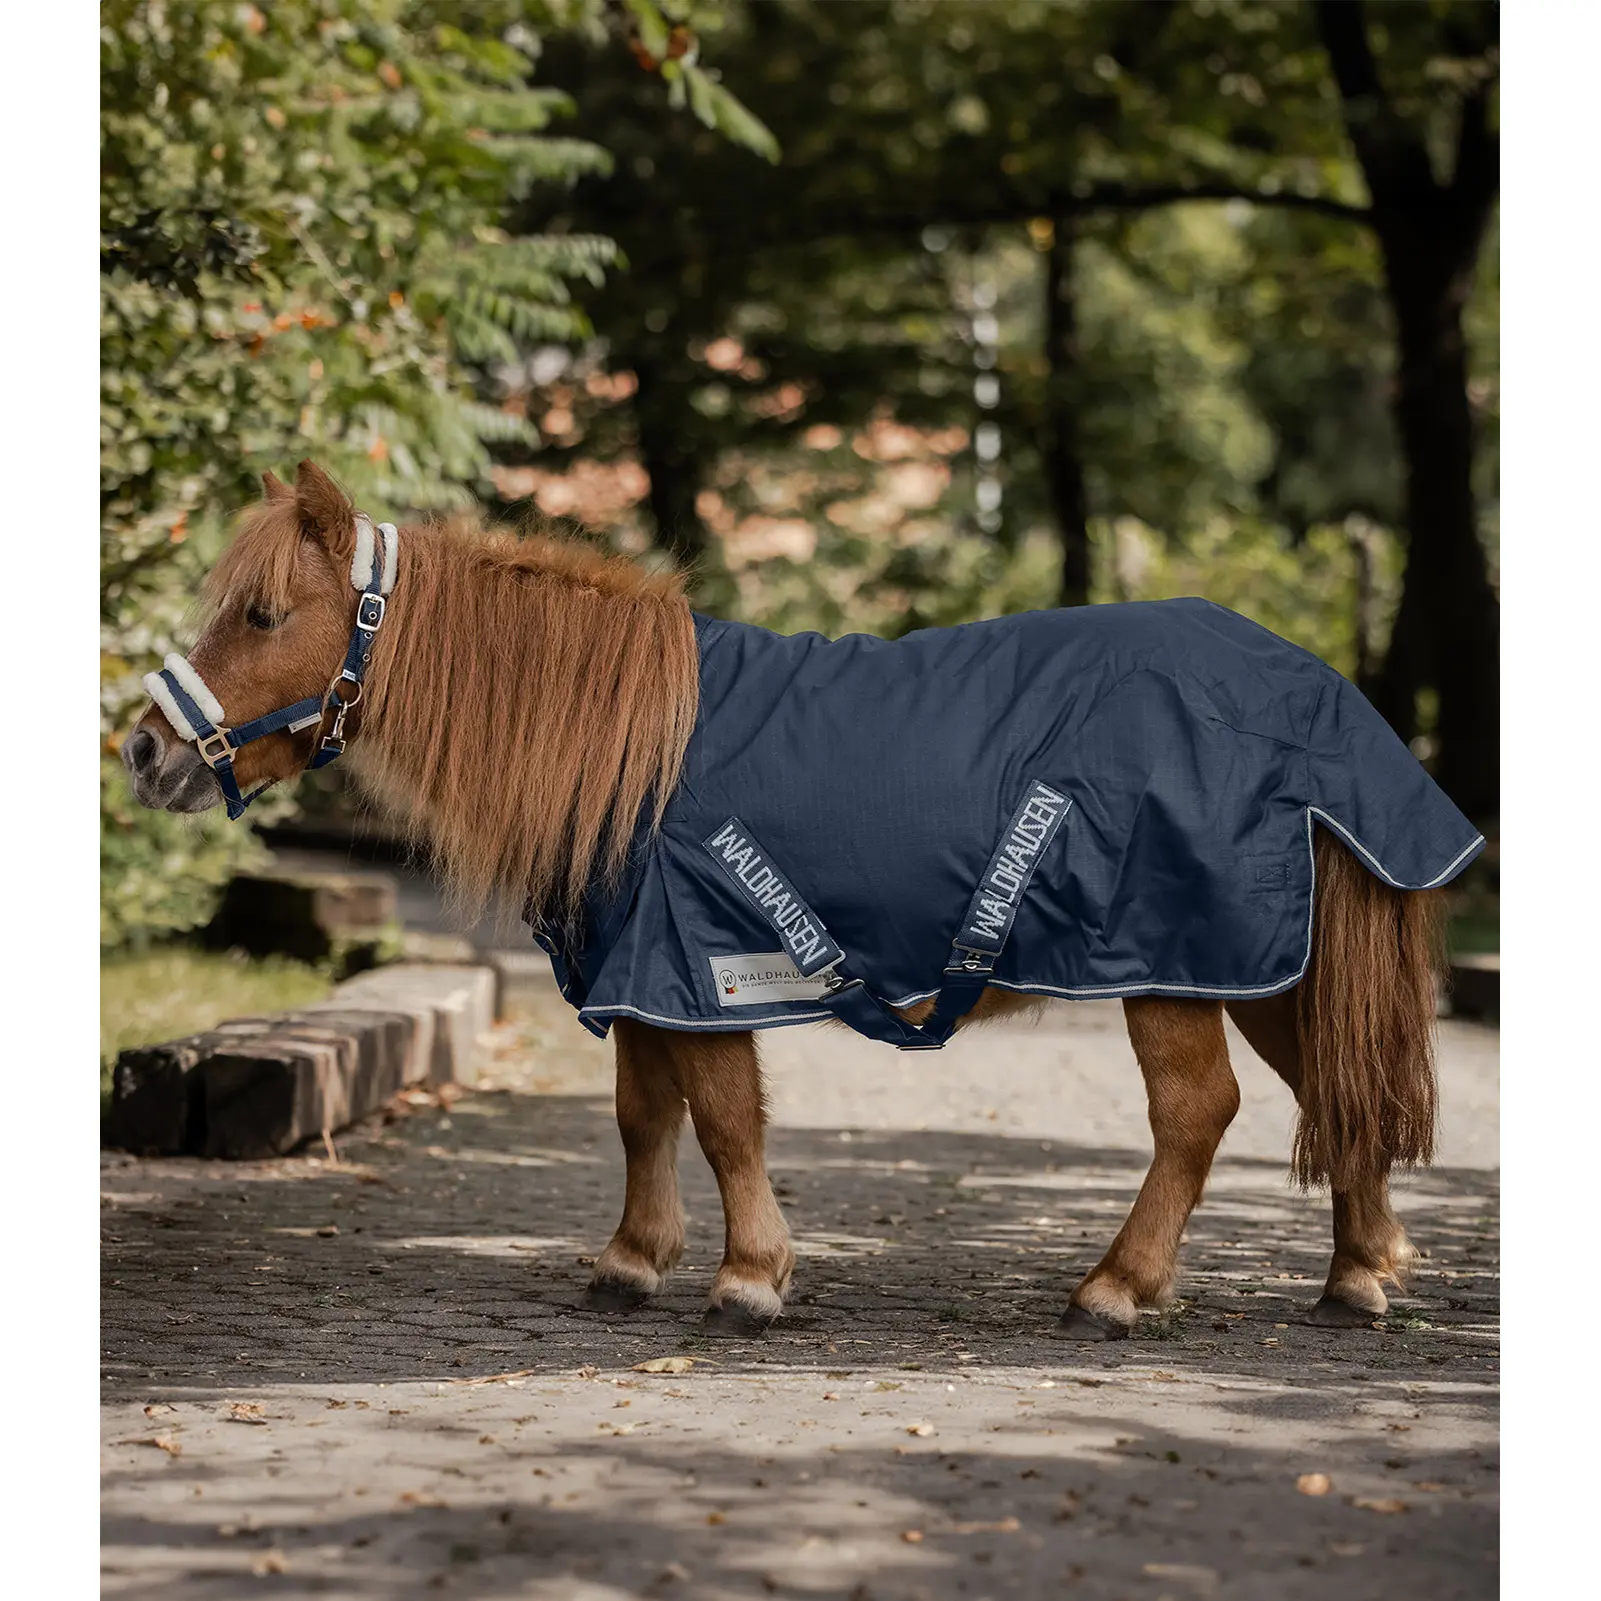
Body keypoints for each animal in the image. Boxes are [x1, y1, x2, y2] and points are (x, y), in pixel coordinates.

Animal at [123, 459, 1464, 1340]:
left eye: (262, 613)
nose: (144, 749)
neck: (635, 747)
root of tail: (1313, 699)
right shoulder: (644, 973)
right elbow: (641, 1113)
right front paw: (631, 1258)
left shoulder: (705, 968)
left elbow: (723, 1119)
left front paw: (749, 1275)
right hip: (1257, 963)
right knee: (1334, 1086)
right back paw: (1356, 1272)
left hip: (1165, 963)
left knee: (1197, 1111)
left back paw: (1117, 1286)